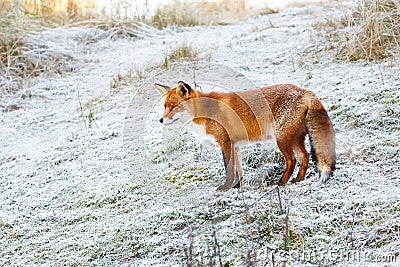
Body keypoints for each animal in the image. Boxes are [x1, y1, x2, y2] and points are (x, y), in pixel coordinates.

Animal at [155, 81, 336, 193]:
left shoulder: (225, 142)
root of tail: (306, 92)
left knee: (292, 160)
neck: (204, 112)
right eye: (164, 107)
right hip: (294, 139)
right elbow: (238, 170)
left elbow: (228, 169)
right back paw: (298, 180)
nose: (161, 120)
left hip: (282, 140)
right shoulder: (235, 145)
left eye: (174, 107)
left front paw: (225, 187)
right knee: (305, 157)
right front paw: (237, 187)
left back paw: (281, 182)